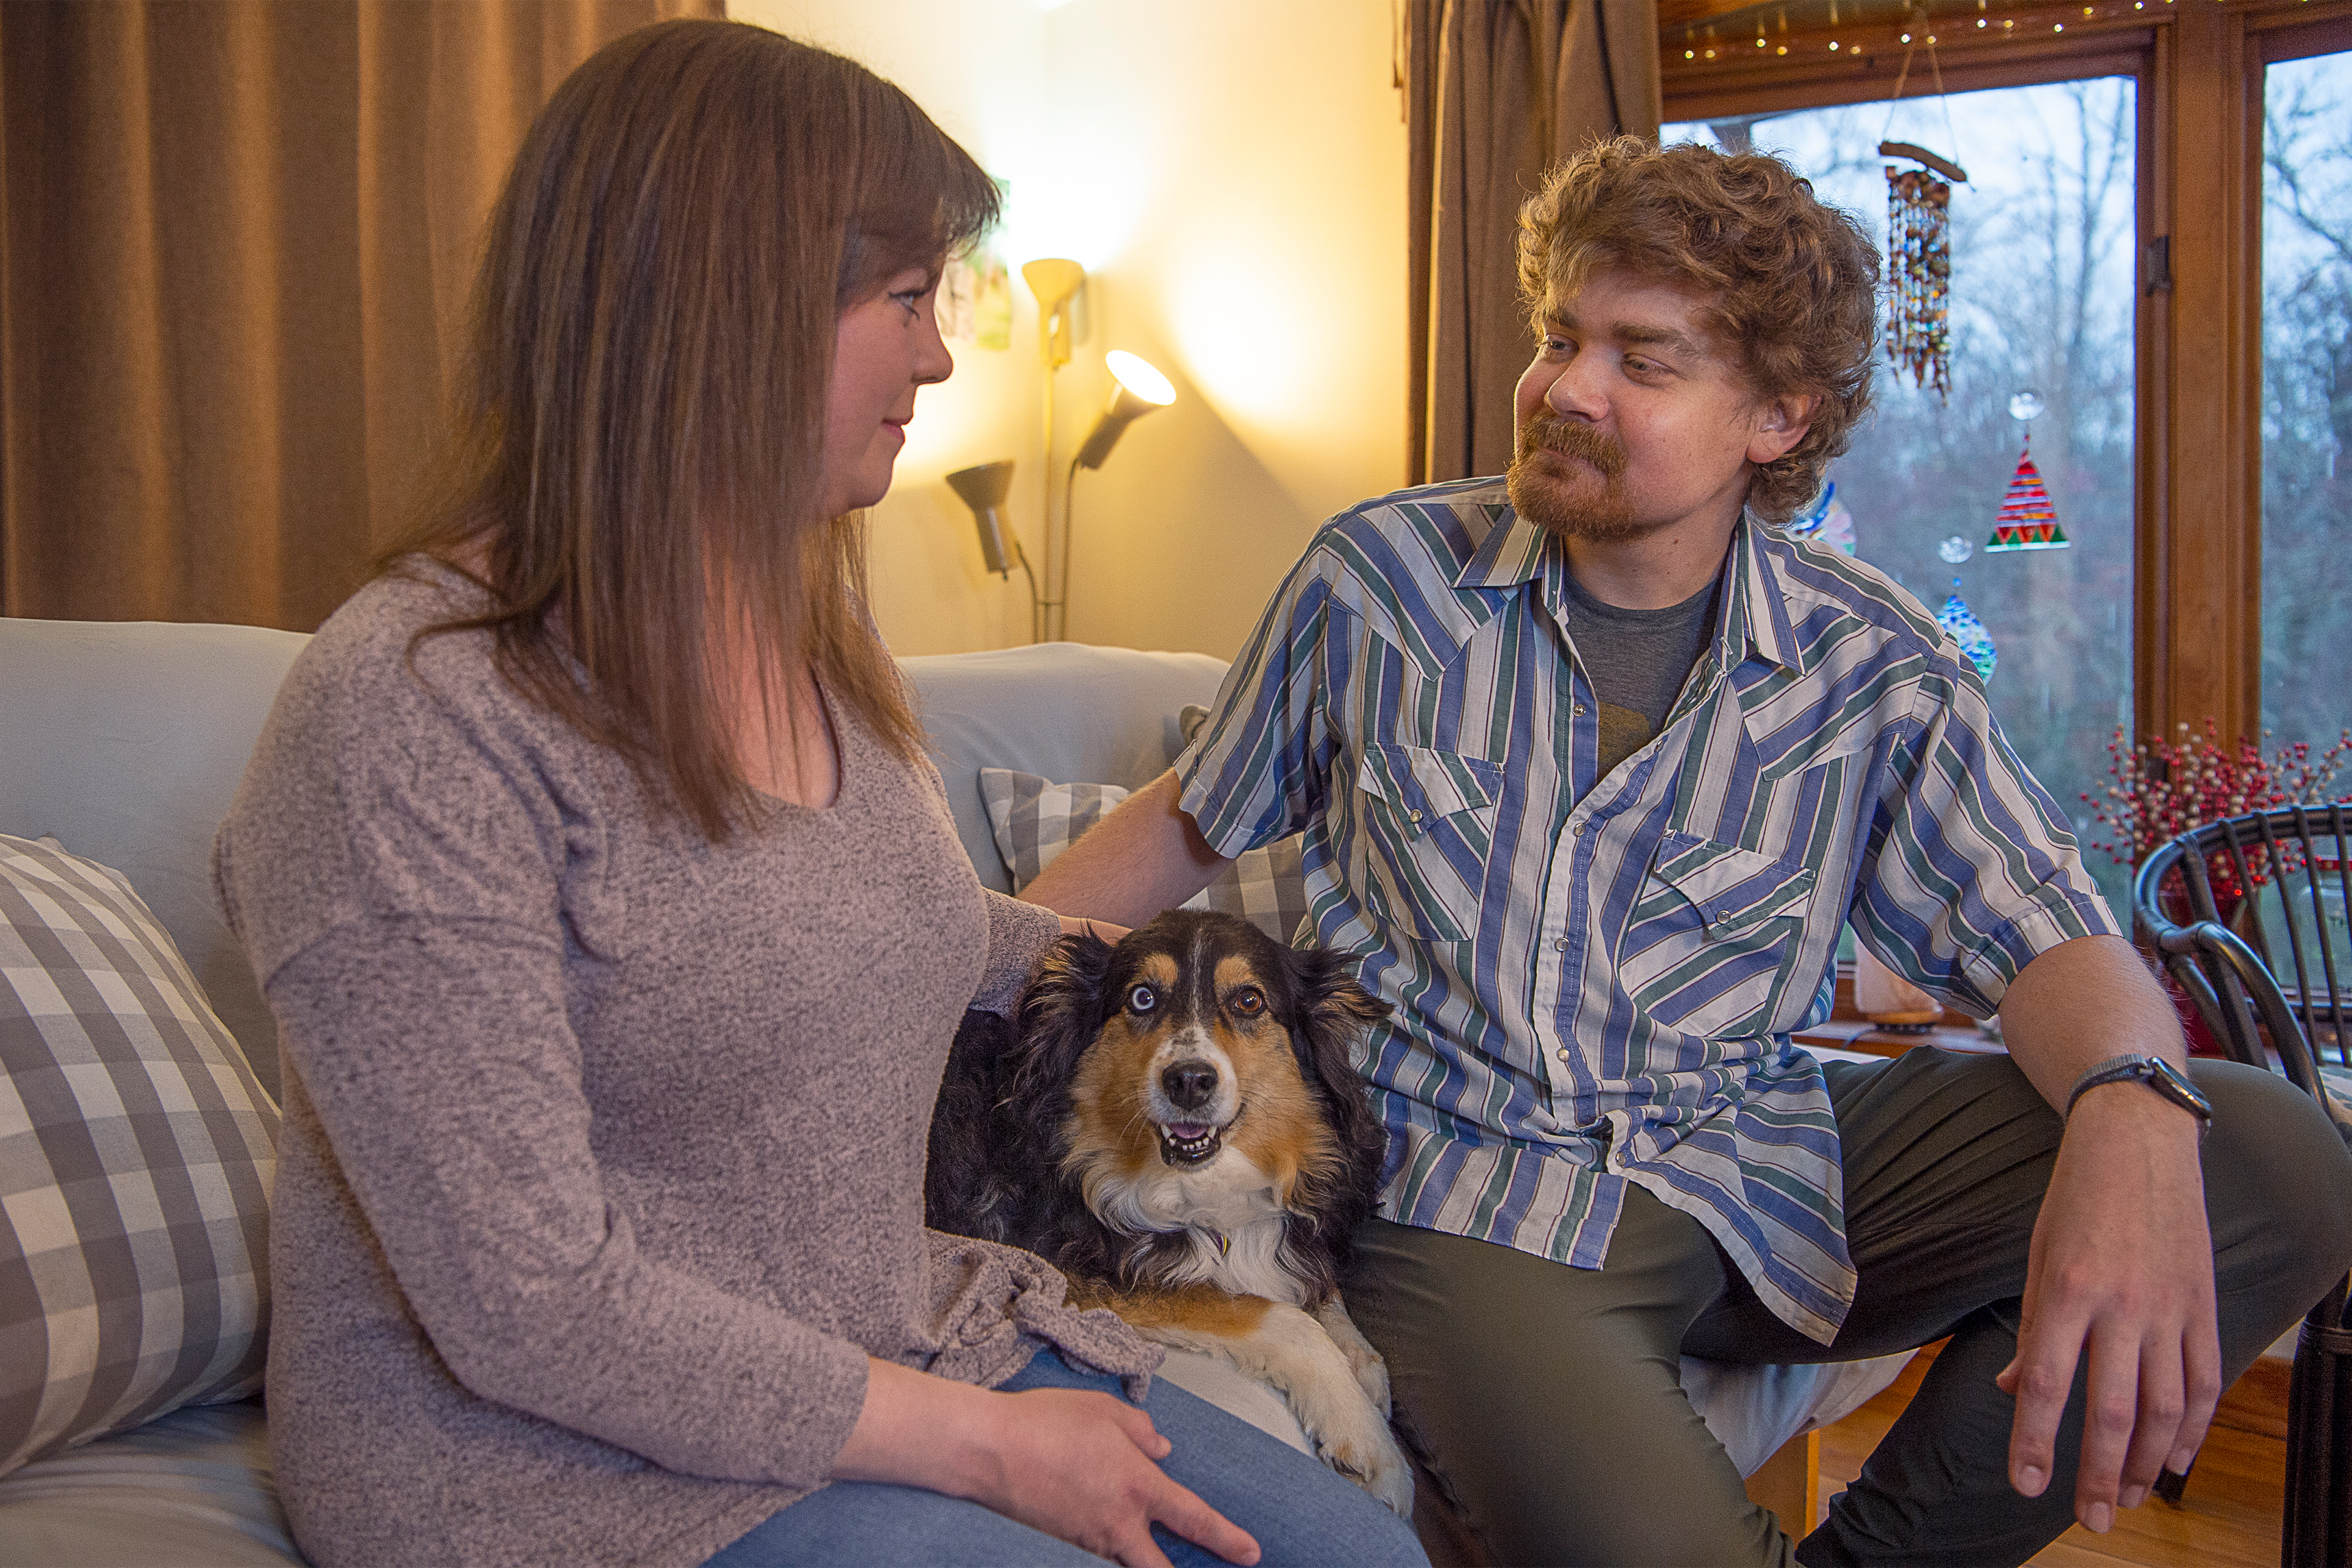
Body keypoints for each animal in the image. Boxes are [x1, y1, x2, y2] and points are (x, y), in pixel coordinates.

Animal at [922, 912, 1411, 1513]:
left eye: (1249, 1000)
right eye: (1142, 998)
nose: (1189, 1081)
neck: (1200, 1182)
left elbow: (1319, 1288)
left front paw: (1363, 1362)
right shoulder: (1071, 1272)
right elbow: (1280, 1318)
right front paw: (1371, 1442)